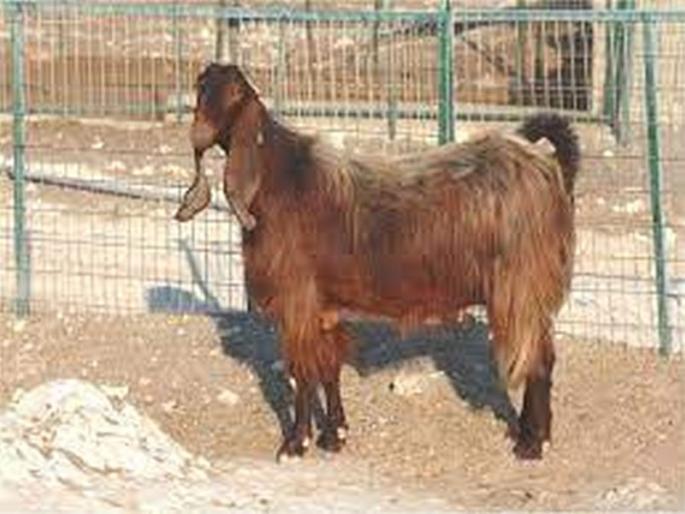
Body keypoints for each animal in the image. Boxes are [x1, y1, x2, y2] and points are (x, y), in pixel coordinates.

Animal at [175, 63, 580, 461]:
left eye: (230, 95)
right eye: (201, 87)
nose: (199, 133)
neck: (281, 179)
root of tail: (547, 166)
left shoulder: (297, 303)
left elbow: (302, 373)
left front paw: (295, 443)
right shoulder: (324, 308)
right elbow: (328, 368)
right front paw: (334, 436)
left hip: (520, 289)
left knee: (537, 360)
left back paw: (531, 444)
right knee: (543, 357)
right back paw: (532, 435)